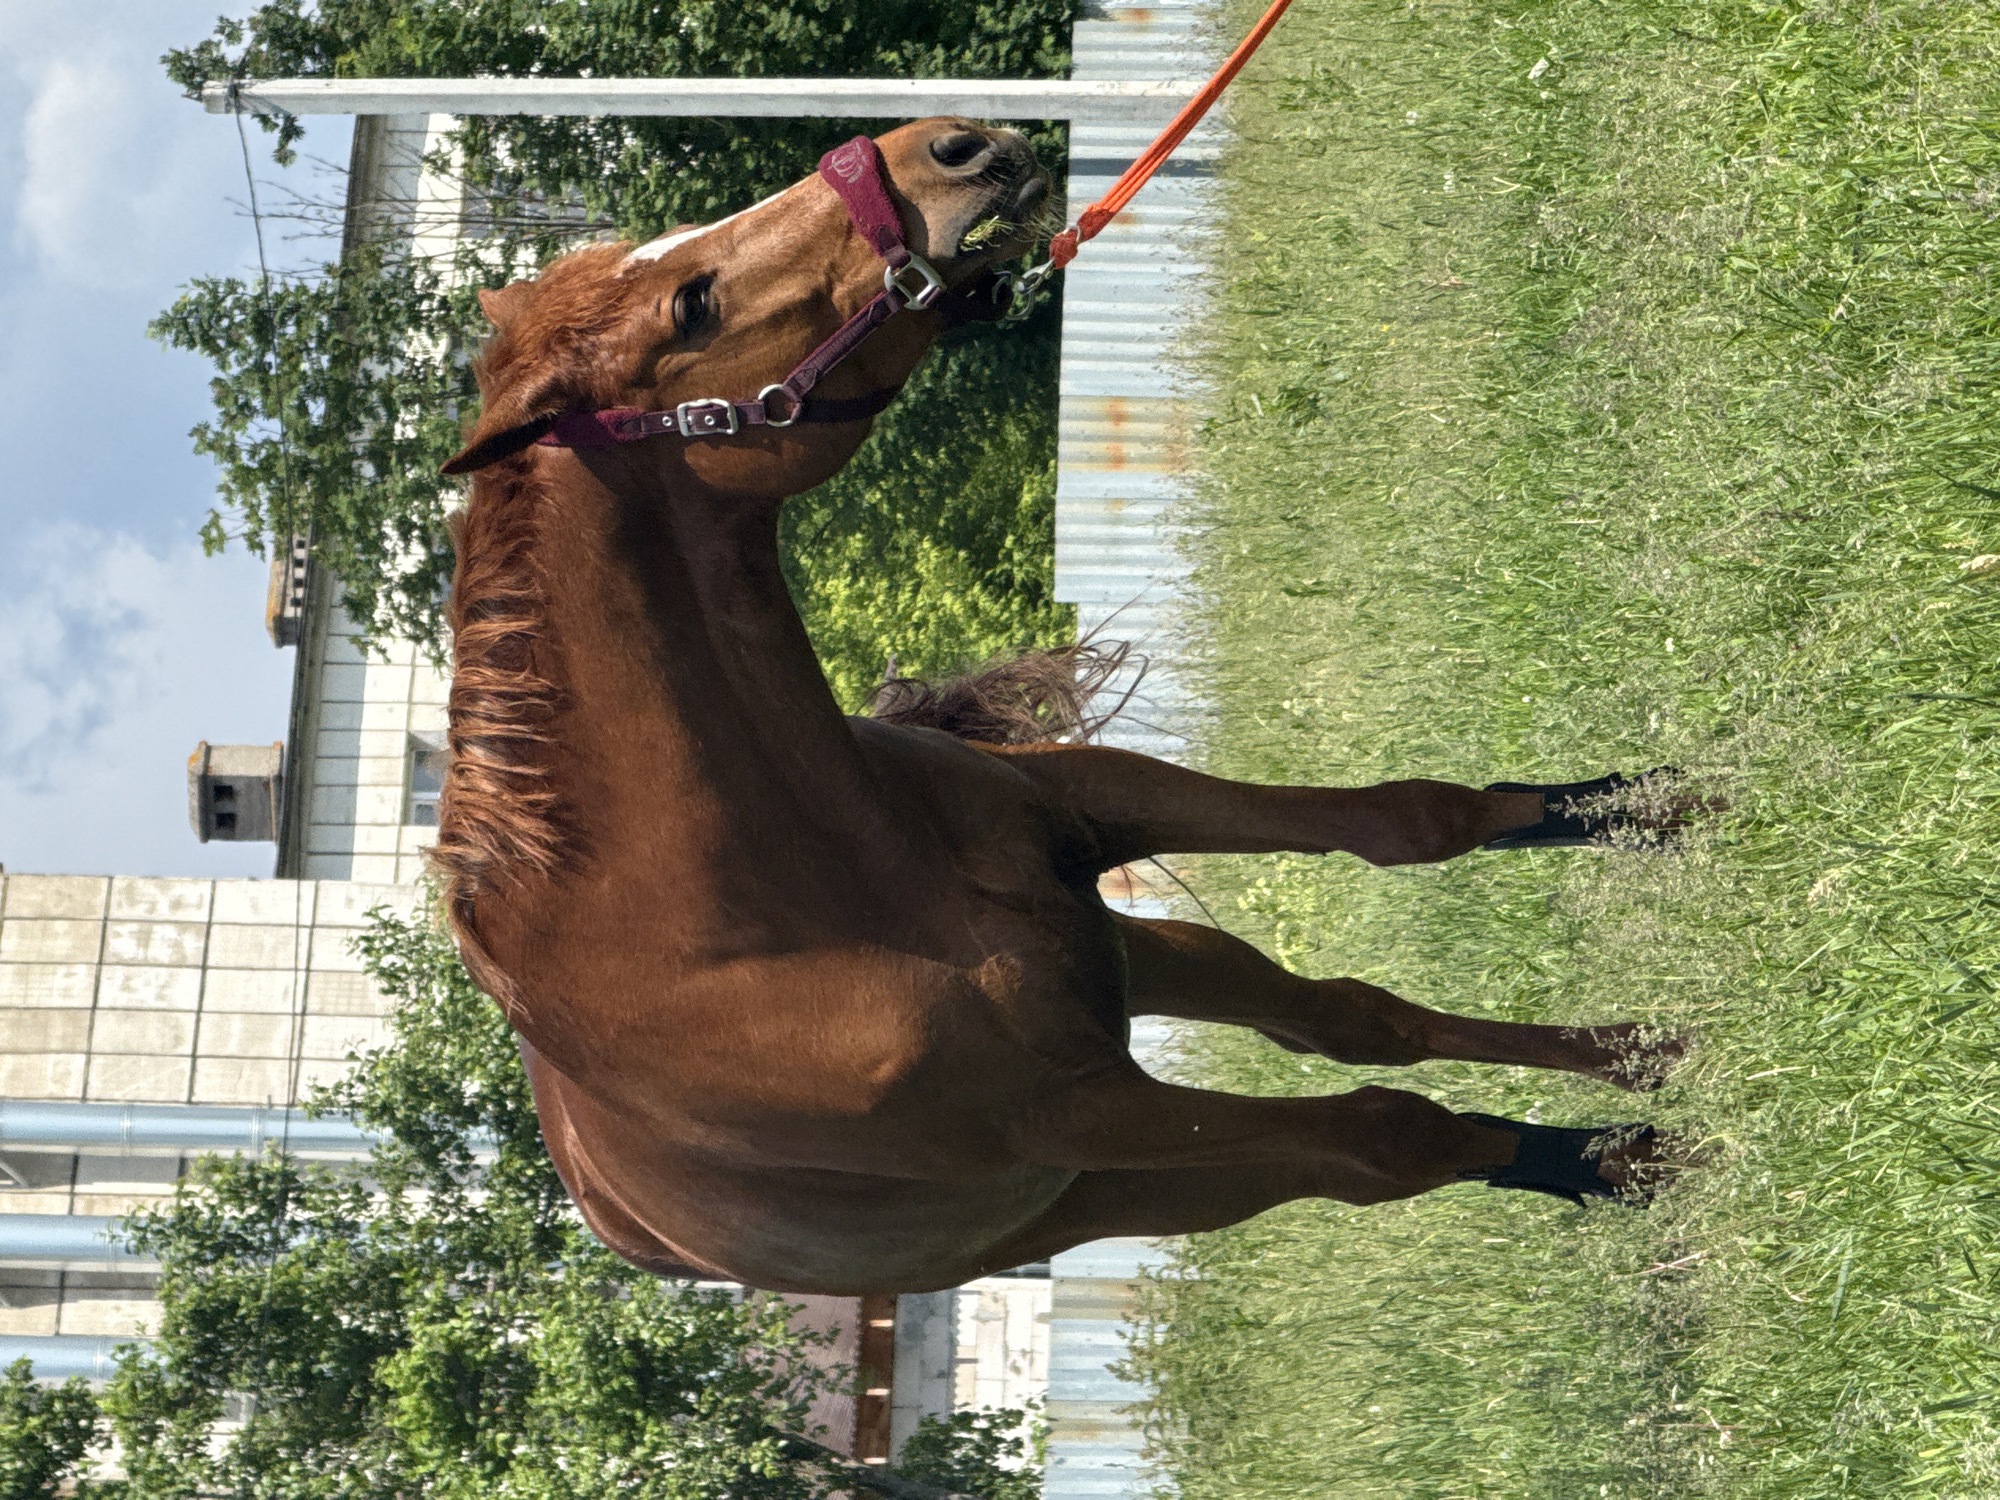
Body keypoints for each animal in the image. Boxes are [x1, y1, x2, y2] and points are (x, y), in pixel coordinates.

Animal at [431, 118, 1683, 1296]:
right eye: (692, 304)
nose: (954, 145)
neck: (802, 907)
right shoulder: (1087, 1110)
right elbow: (1392, 1133)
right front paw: (1645, 1157)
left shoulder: (1092, 803)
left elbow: (1405, 822)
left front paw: (1662, 810)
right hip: (1128, 1178)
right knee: (1348, 1131)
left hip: (1128, 954)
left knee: (1341, 1015)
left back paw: (1637, 1048)